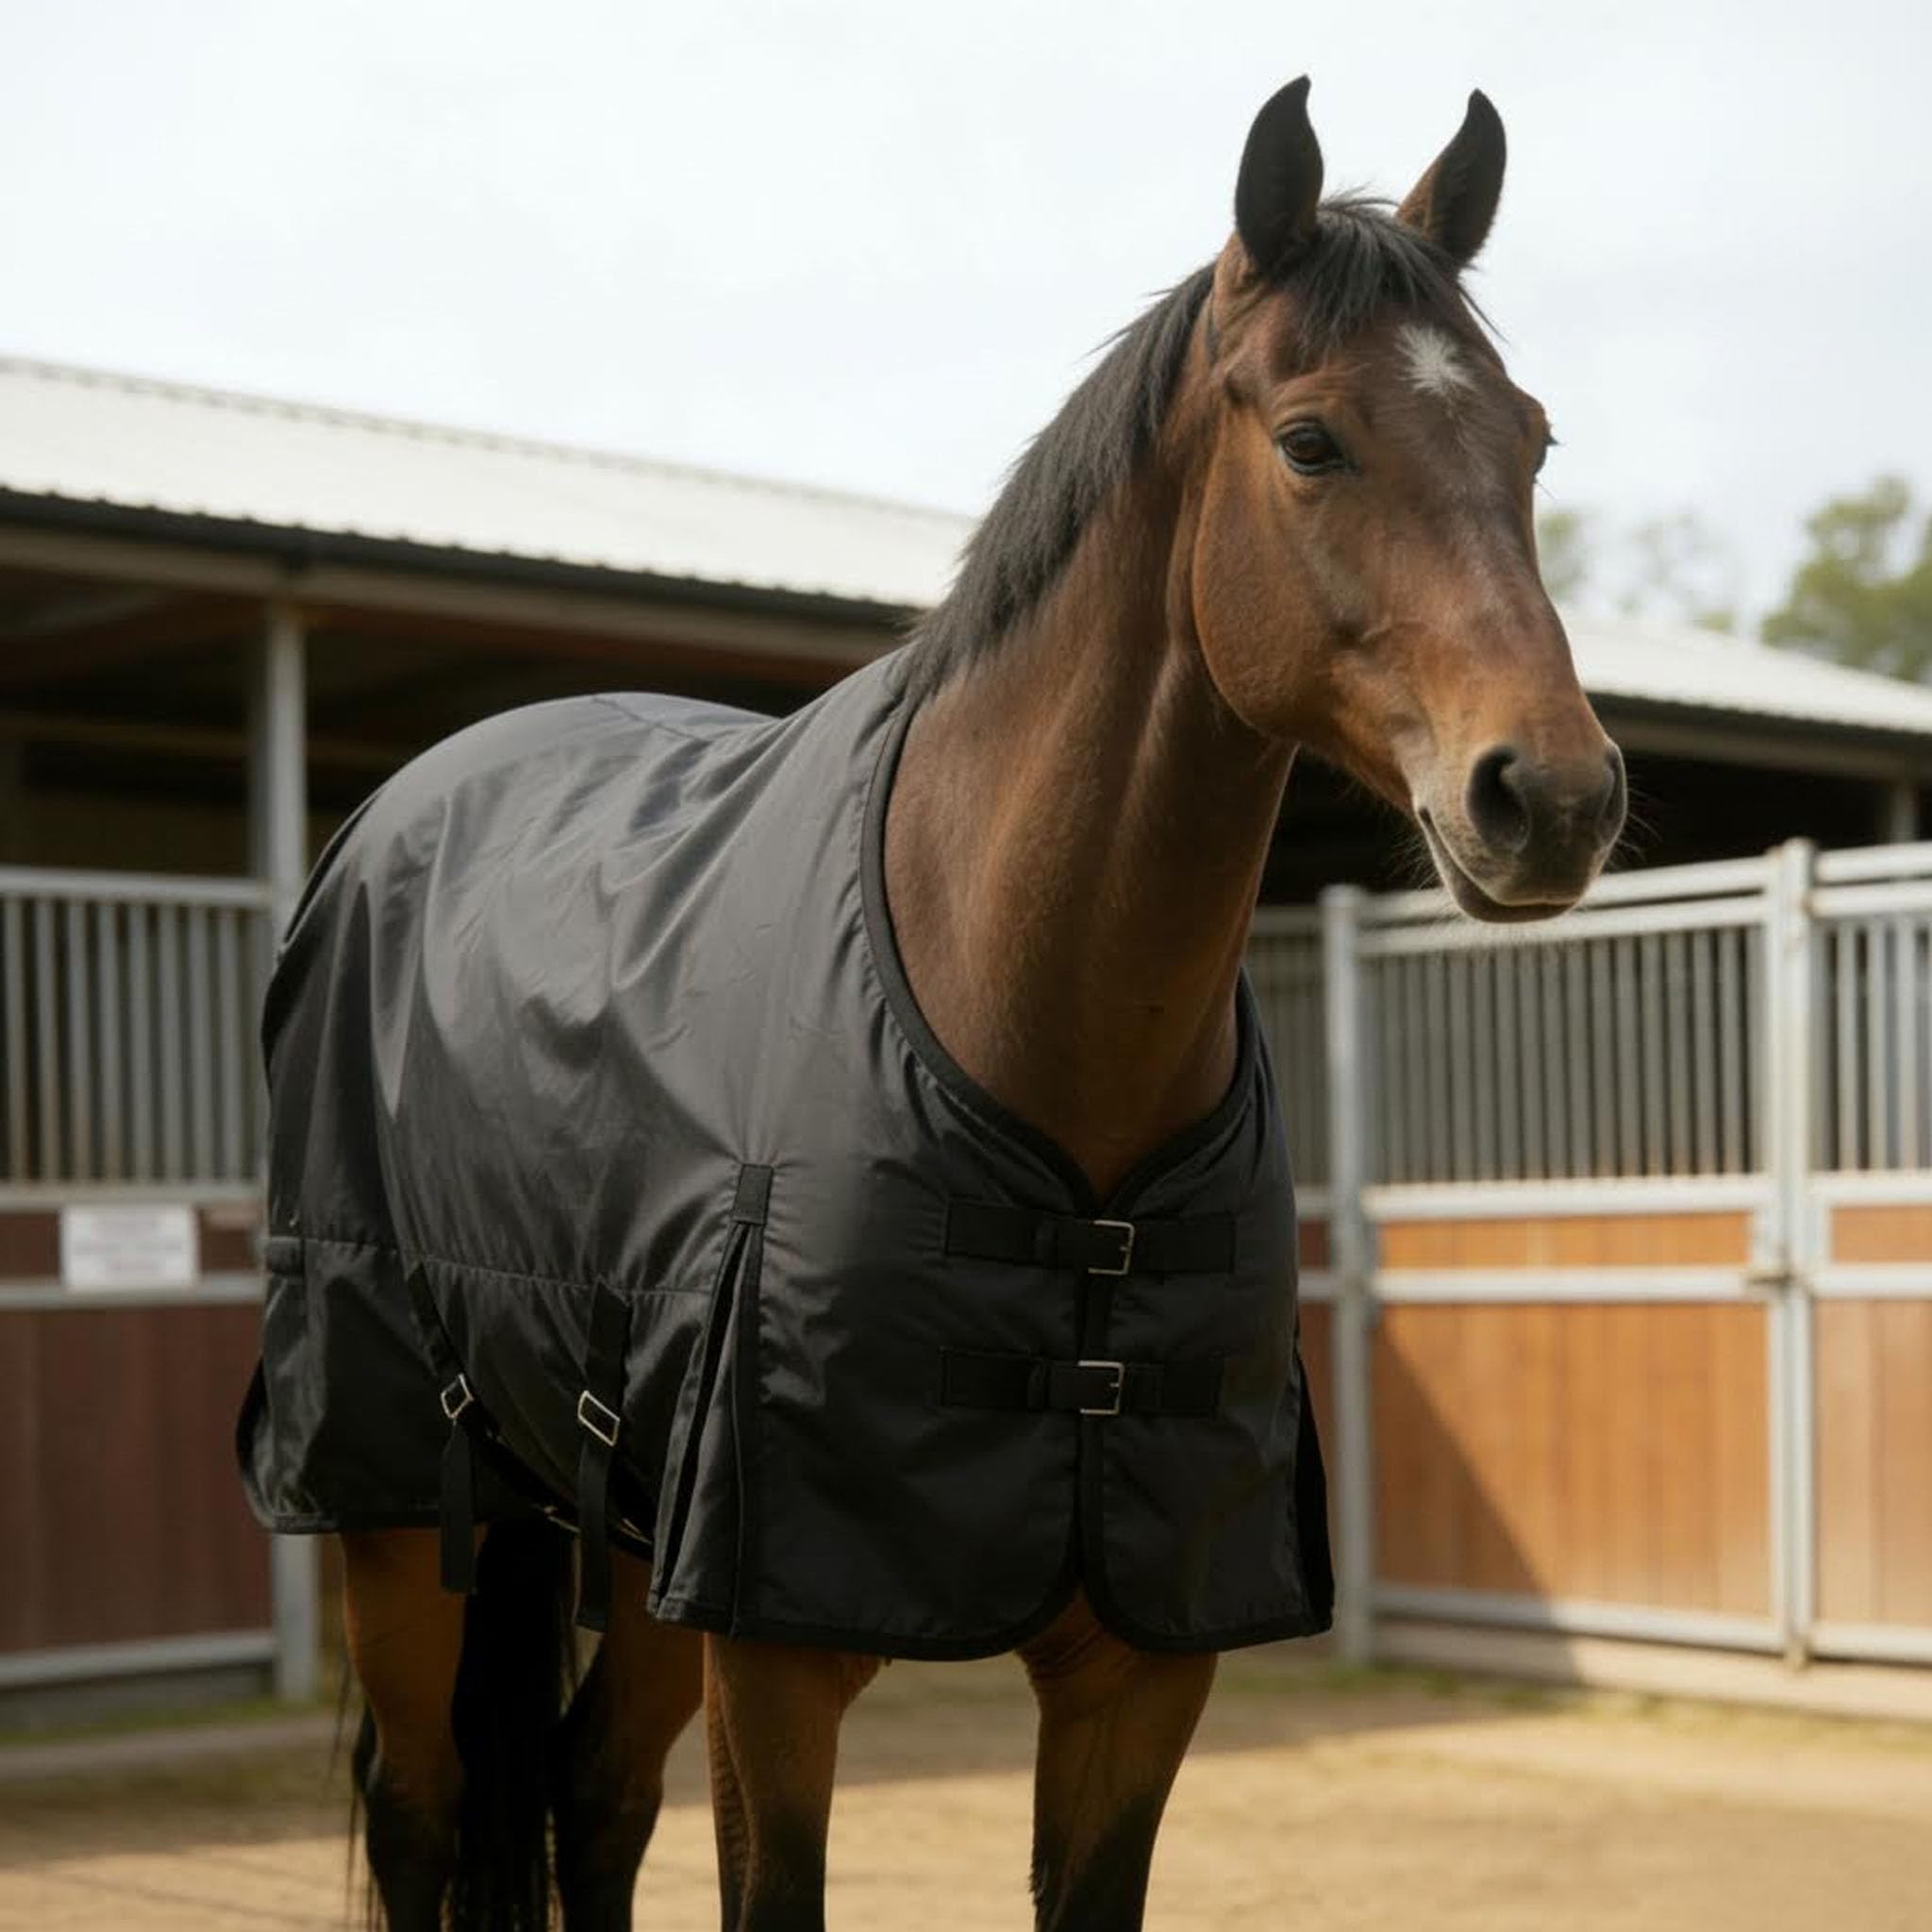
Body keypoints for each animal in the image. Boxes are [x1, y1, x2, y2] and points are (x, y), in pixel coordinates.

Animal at [241, 75, 1624, 1932]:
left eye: (1529, 442)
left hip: (622, 1524)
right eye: (1312, 441)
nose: (1550, 797)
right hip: (402, 1505)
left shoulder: (1136, 1674)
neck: (1023, 1028)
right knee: (428, 1809)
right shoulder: (777, 1646)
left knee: (592, 1796)